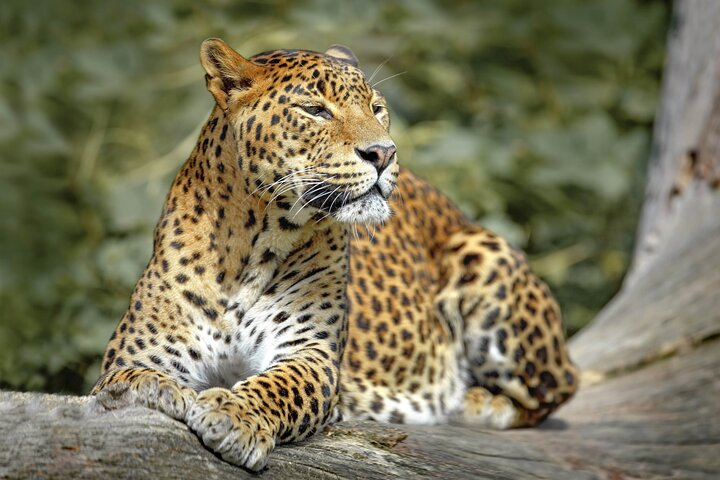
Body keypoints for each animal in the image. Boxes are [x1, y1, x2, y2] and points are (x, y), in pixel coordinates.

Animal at [92, 38, 578, 472]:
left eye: (377, 109)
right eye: (315, 110)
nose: (384, 153)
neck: (254, 244)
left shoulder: (311, 354)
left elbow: (278, 386)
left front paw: (233, 415)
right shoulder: (137, 353)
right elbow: (127, 380)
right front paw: (157, 391)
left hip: (485, 256)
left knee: (558, 388)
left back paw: (473, 401)